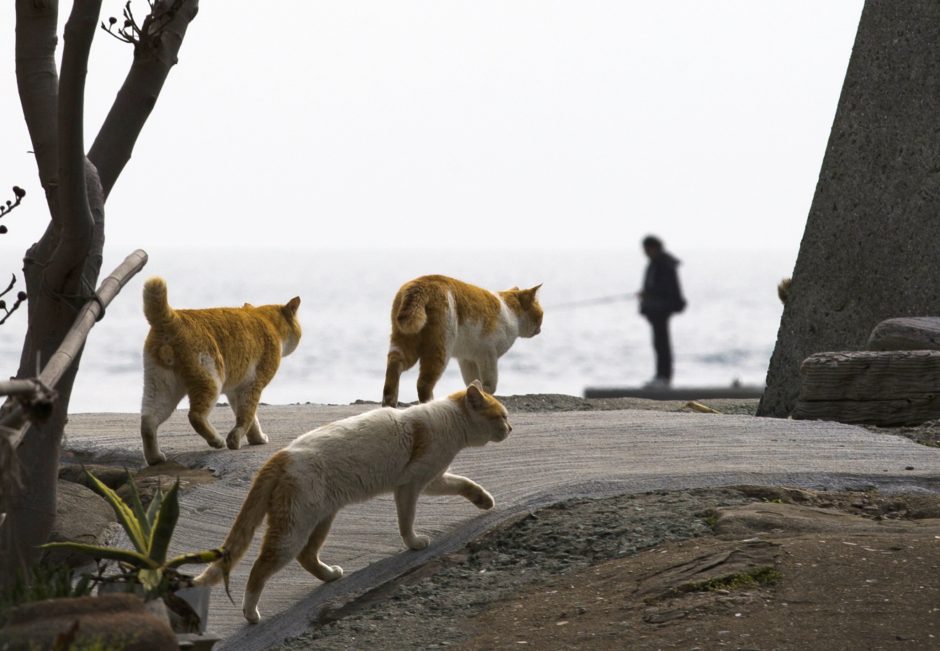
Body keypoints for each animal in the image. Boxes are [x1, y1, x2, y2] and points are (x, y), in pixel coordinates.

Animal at [139, 278, 302, 466]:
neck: (267, 322)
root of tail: (171, 317)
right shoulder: (254, 384)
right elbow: (246, 416)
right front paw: (235, 440)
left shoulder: (236, 391)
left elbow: (250, 418)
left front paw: (256, 439)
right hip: (210, 380)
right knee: (195, 416)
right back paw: (216, 440)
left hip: (161, 386)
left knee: (148, 422)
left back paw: (155, 458)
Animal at [194, 382, 510, 628]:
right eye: (502, 416)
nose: (510, 427)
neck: (449, 419)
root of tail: (280, 455)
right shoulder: (410, 485)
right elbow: (406, 521)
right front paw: (414, 543)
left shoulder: (433, 479)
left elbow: (464, 483)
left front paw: (484, 501)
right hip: (293, 529)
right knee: (260, 567)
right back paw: (251, 613)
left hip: (321, 518)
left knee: (306, 556)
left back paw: (330, 575)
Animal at [382, 276, 544, 408]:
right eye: (541, 315)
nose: (540, 329)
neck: (510, 312)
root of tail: (421, 284)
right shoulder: (488, 355)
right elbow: (490, 384)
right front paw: (485, 393)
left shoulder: (467, 359)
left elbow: (471, 381)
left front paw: (476, 394)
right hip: (440, 348)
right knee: (423, 384)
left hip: (405, 341)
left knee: (394, 366)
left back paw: (389, 404)